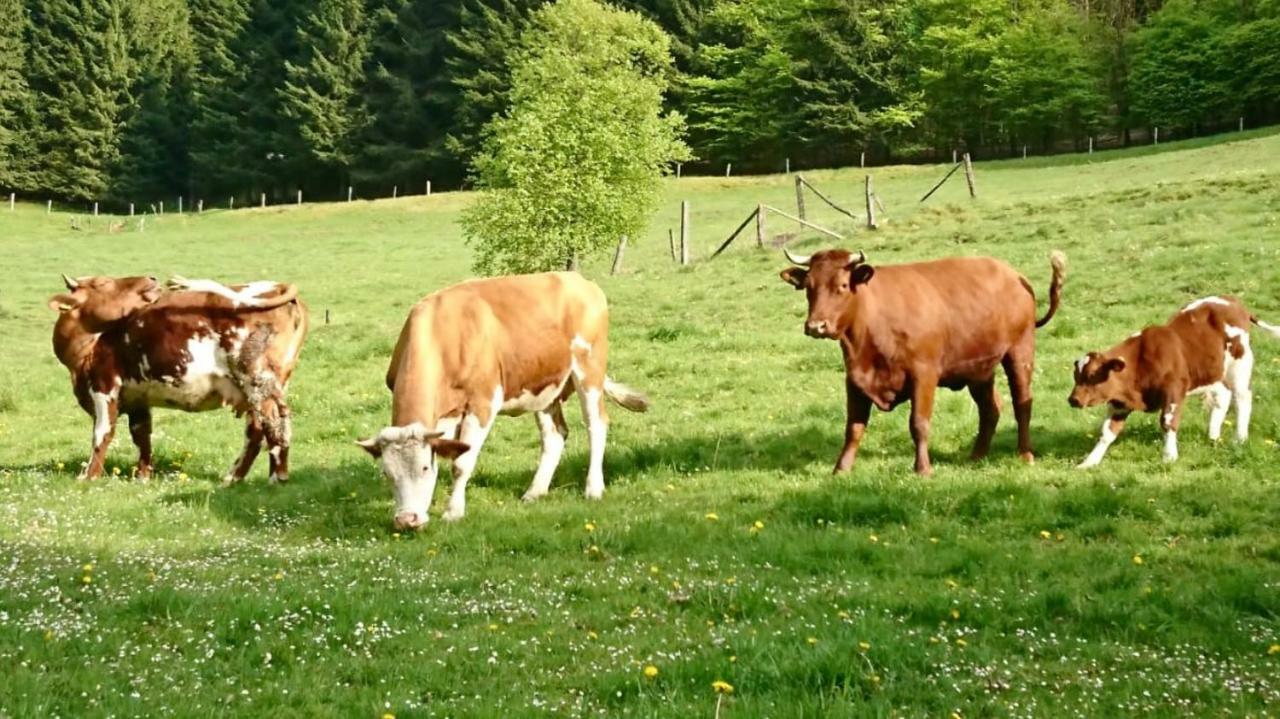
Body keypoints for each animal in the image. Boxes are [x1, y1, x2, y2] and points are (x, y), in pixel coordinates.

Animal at [48, 273, 309, 481]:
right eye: (102, 282)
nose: (151, 278)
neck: (83, 350)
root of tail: (276, 284)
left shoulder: (104, 386)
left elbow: (102, 434)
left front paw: (88, 477)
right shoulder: (138, 397)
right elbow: (142, 436)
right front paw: (142, 477)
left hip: (256, 379)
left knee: (272, 424)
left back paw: (275, 477)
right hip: (264, 386)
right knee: (260, 427)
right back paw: (235, 478)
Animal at [358, 268, 650, 527]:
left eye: (423, 469)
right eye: (387, 473)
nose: (406, 520)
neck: (441, 335)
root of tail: (579, 280)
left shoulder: (483, 402)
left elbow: (461, 463)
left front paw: (453, 512)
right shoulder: (445, 414)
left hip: (589, 368)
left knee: (596, 424)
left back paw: (593, 488)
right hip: (545, 385)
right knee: (555, 435)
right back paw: (535, 491)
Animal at [783, 249, 1064, 473]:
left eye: (842, 285)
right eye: (808, 286)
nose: (816, 326)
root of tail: (1014, 276)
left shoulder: (924, 375)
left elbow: (918, 423)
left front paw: (923, 469)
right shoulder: (855, 379)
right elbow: (853, 428)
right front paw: (841, 470)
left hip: (1020, 352)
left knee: (1022, 403)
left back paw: (1025, 454)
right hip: (979, 369)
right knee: (990, 408)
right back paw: (975, 456)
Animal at [1070, 295, 1280, 468]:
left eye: (1092, 375)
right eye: (1076, 376)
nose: (1073, 400)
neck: (1139, 361)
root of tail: (1233, 301)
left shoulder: (1174, 391)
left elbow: (1167, 422)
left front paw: (1169, 456)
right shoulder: (1120, 402)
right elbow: (1107, 432)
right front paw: (1089, 462)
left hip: (1239, 365)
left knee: (1242, 399)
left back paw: (1239, 439)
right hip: (1212, 372)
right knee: (1223, 396)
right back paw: (1213, 436)